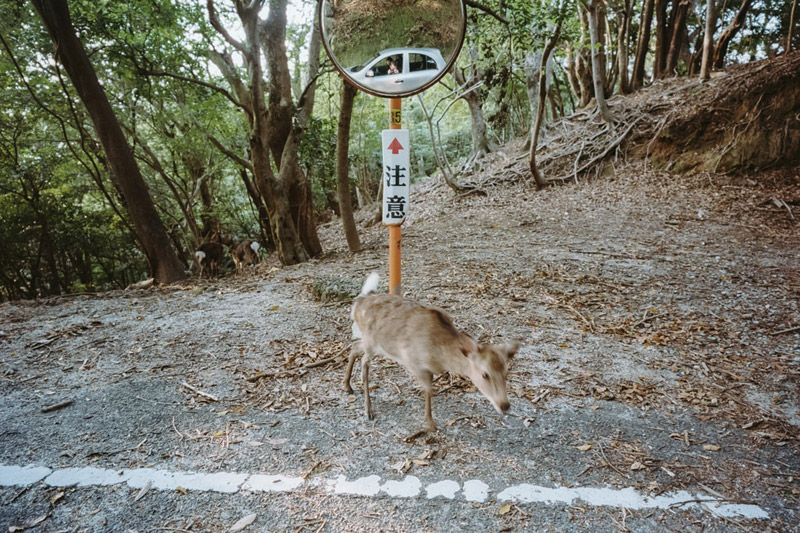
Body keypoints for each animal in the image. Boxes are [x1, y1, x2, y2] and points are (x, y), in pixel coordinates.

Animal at [342, 272, 520, 430]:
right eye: (485, 374)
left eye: (506, 372)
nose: (504, 405)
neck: (439, 355)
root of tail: (359, 302)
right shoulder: (415, 363)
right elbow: (428, 391)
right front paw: (431, 424)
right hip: (371, 343)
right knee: (364, 361)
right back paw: (368, 410)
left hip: (373, 343)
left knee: (355, 347)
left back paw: (347, 386)